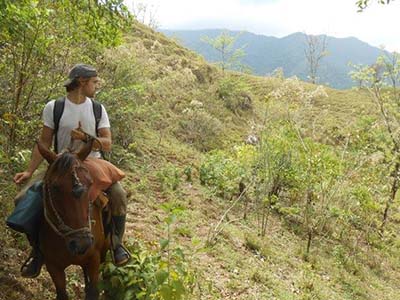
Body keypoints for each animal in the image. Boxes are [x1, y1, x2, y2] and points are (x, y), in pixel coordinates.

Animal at [37, 141, 109, 300]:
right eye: (55, 188)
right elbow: (62, 294)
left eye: (90, 183)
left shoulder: (94, 259)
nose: (82, 244)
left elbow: (93, 292)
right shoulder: (53, 265)